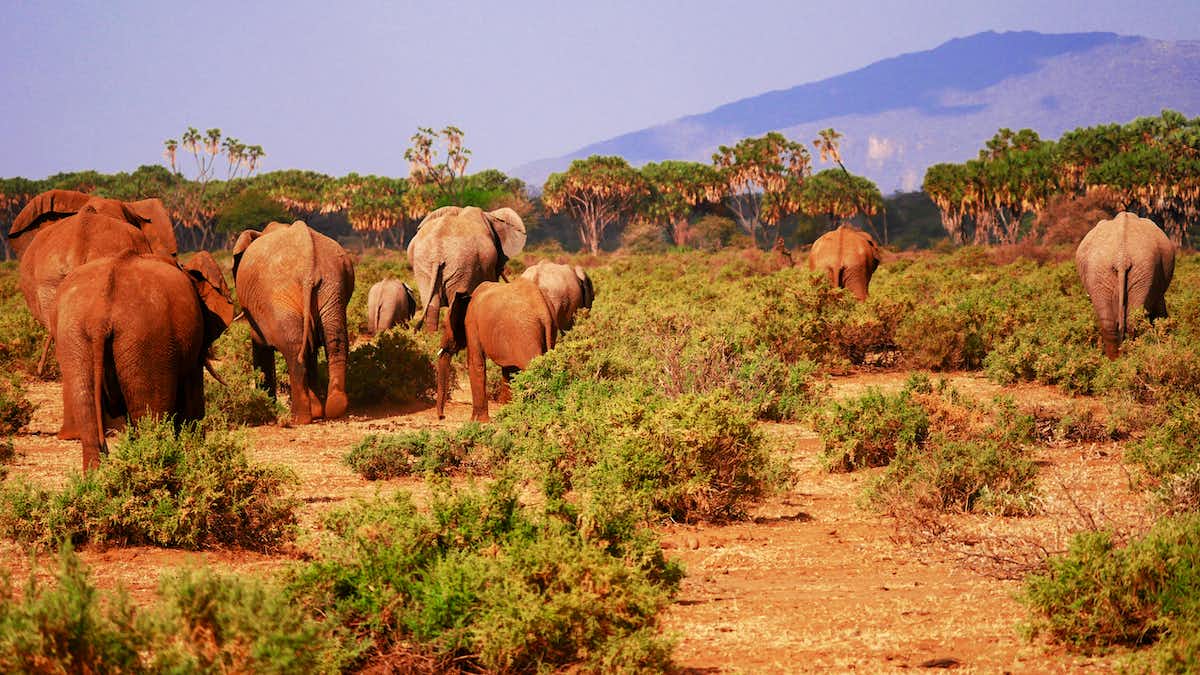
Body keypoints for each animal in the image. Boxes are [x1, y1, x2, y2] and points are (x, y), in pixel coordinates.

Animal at [54, 251, 233, 471]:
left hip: (74, 334)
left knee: (85, 405)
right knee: (150, 416)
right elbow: (193, 396)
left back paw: (98, 476)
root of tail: (99, 317)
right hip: (148, 339)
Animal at [233, 220, 355, 424]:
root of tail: (308, 267)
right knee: (334, 342)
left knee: (295, 349)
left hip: (279, 294)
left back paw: (299, 417)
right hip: (333, 284)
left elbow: (261, 348)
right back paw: (332, 408)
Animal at [436, 278, 555, 422]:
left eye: (443, 326)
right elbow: (509, 370)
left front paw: (477, 421)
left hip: (526, 334)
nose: (442, 417)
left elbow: (475, 363)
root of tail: (544, 311)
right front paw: (507, 415)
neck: (467, 297)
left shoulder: (471, 323)